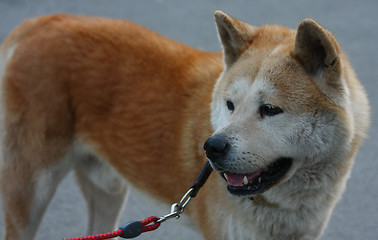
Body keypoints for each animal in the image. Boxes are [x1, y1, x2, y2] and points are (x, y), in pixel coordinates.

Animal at [0, 10, 370, 239]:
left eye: (270, 109)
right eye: (230, 105)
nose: (212, 147)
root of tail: (41, 22)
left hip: (108, 189)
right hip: (30, 191)